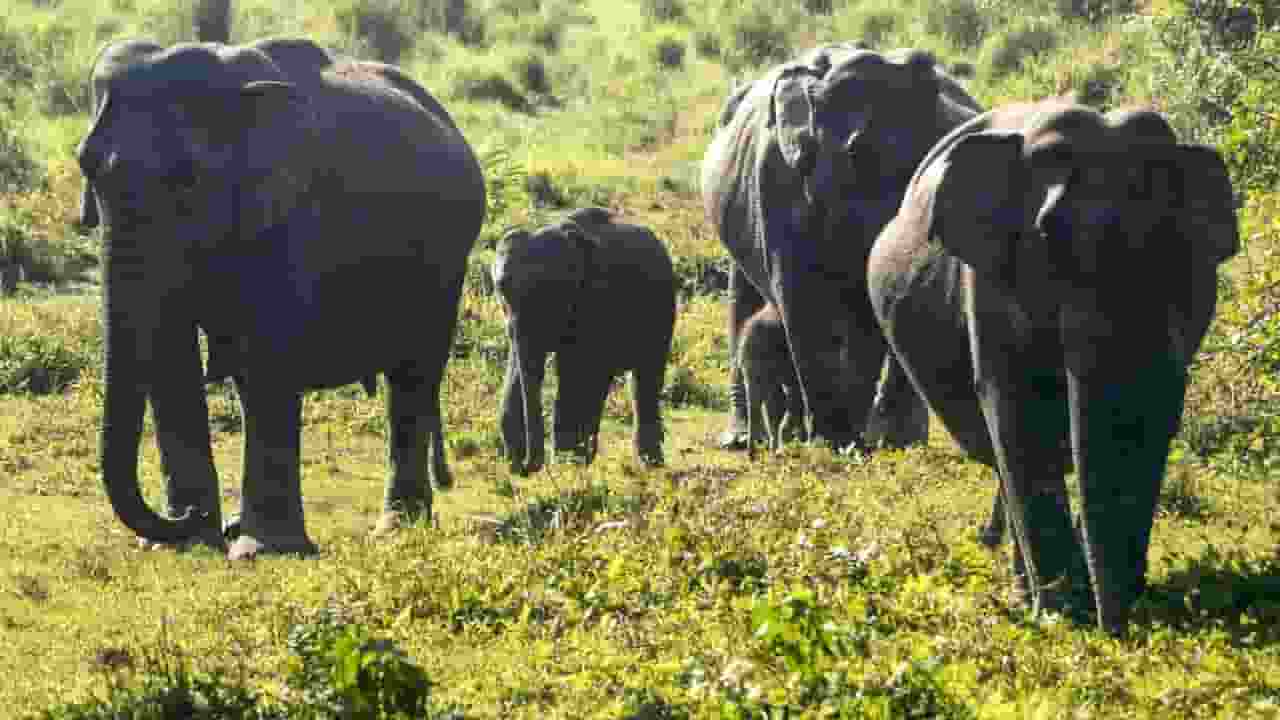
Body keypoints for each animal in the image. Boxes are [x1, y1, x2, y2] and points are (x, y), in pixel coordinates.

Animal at [76, 36, 486, 559]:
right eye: (87, 166)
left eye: (185, 179)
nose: (190, 519)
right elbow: (169, 351)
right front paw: (189, 540)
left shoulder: (292, 218)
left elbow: (264, 359)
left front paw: (260, 548)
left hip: (448, 261)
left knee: (415, 373)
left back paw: (396, 527)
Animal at [494, 207, 677, 475]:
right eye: (501, 289)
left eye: (552, 294)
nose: (524, 466)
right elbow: (520, 367)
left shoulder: (597, 300)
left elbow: (581, 374)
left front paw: (570, 464)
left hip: (663, 311)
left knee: (646, 378)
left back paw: (651, 464)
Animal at [867, 100, 1238, 633]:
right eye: (1047, 241)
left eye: (1177, 246)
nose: (1120, 630)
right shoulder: (990, 284)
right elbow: (1017, 411)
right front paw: (1064, 615)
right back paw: (1028, 592)